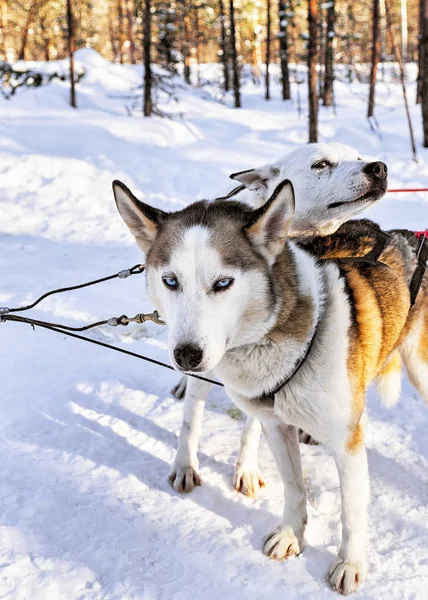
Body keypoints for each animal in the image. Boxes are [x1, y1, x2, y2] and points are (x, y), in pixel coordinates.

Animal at [166, 142, 388, 496]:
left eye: (357, 157)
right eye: (321, 164)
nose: (378, 167)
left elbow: (254, 426)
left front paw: (246, 467)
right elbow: (192, 416)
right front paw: (185, 465)